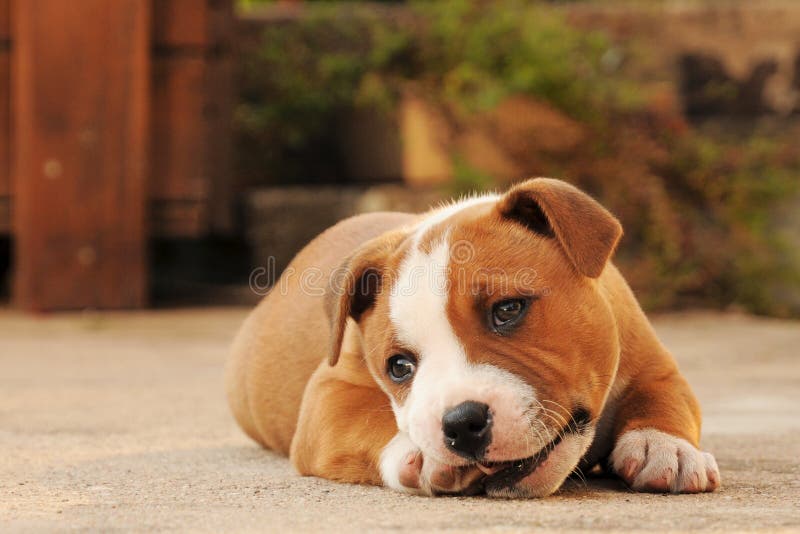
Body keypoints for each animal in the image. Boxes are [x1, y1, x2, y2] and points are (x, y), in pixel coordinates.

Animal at [225, 179, 720, 498]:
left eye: (508, 310)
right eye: (399, 367)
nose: (462, 424)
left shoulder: (657, 368)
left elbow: (663, 399)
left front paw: (665, 447)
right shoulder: (328, 397)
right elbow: (370, 419)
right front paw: (420, 453)